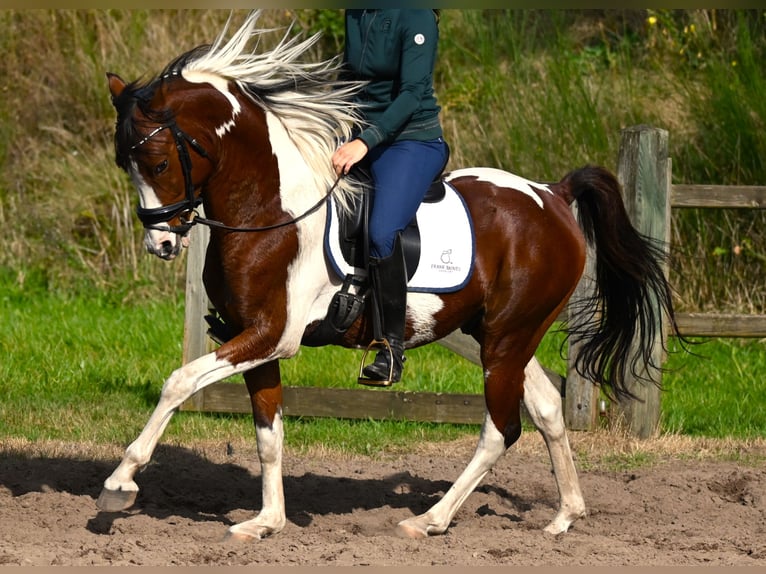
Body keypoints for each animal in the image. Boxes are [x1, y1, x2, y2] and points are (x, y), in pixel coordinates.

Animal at [99, 11, 680, 544]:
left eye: (156, 162)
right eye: (124, 163)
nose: (162, 244)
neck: (270, 210)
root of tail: (552, 195)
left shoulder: (272, 336)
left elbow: (178, 382)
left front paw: (121, 481)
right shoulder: (252, 337)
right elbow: (268, 434)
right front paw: (266, 522)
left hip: (507, 337)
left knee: (501, 429)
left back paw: (430, 520)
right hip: (492, 334)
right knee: (546, 408)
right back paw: (565, 515)